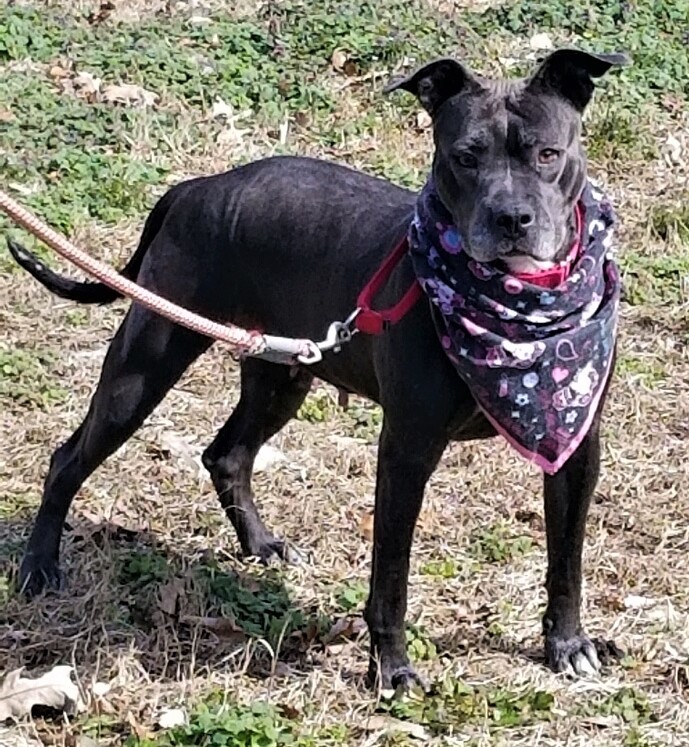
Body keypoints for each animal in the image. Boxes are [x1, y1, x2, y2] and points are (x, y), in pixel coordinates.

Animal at [5, 48, 628, 688]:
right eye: (464, 156)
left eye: (548, 154)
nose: (512, 218)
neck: (513, 310)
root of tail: (196, 186)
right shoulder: (407, 450)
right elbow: (391, 577)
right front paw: (392, 669)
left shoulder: (577, 444)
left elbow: (567, 559)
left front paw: (567, 642)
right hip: (145, 364)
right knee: (69, 458)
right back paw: (39, 567)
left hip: (280, 377)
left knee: (227, 455)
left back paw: (260, 544)